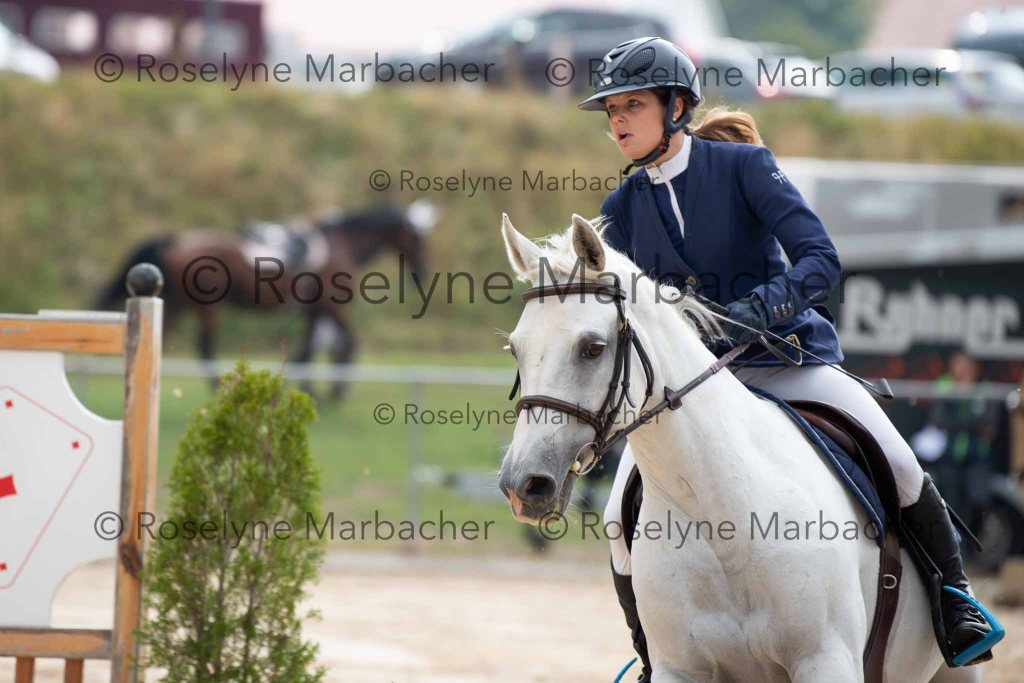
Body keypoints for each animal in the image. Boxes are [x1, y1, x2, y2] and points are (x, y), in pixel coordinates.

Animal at [96, 201, 435, 400]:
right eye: (416, 238)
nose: (423, 271)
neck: (343, 244)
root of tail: (176, 238)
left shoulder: (316, 311)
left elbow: (307, 351)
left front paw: (308, 389)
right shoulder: (332, 307)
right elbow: (348, 344)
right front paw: (334, 391)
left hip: (176, 303)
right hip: (207, 307)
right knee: (205, 346)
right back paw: (219, 386)